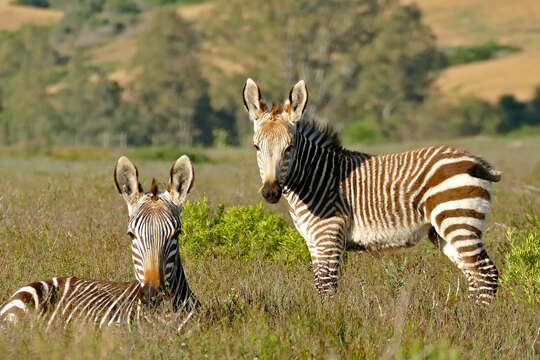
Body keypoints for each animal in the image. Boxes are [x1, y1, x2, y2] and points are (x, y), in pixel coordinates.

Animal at [243, 78, 500, 304]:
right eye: (256, 147)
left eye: (290, 147)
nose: (270, 192)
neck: (313, 178)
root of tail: (475, 160)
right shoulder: (313, 241)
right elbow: (319, 284)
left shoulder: (329, 235)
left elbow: (327, 287)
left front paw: (329, 322)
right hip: (443, 232)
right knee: (474, 276)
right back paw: (462, 316)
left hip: (458, 220)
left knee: (486, 274)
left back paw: (476, 322)